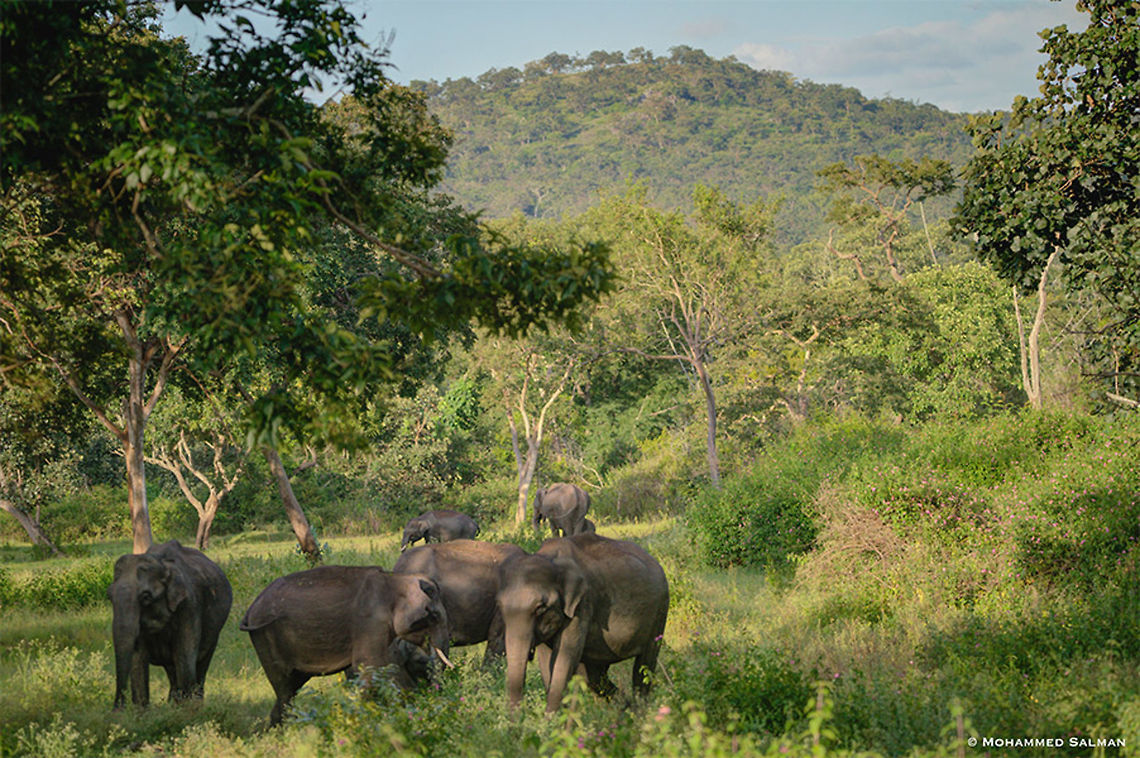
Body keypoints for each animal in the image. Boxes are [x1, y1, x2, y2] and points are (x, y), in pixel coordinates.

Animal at [107, 539, 233, 709]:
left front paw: (186, 710)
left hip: (214, 632)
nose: (118, 708)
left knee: (201, 663)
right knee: (172, 669)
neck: (162, 565)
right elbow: (138, 659)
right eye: (109, 596)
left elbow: (184, 655)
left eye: (146, 597)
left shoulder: (189, 606)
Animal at [240, 565, 450, 725]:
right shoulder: (370, 622)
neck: (395, 580)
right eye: (434, 616)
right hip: (265, 638)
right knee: (283, 686)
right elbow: (371, 666)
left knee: (292, 686)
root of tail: (250, 609)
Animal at [497, 533, 669, 712]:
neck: (551, 559)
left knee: (645, 665)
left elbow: (564, 658)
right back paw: (627, 709)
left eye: (540, 608)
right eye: (500, 606)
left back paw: (641, 712)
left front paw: (551, 717)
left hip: (660, 610)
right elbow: (546, 662)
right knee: (595, 677)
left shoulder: (582, 605)